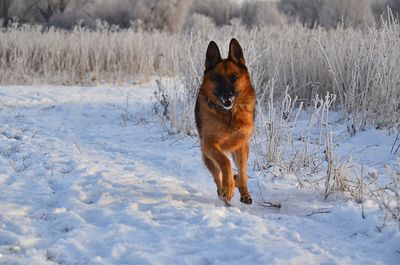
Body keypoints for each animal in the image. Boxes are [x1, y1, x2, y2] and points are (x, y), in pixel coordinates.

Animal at [195, 37, 256, 204]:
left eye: (234, 77)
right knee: (217, 175)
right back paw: (222, 190)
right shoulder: (210, 144)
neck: (229, 114)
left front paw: (239, 185)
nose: (227, 95)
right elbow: (225, 162)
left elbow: (243, 173)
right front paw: (228, 187)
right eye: (217, 79)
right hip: (208, 156)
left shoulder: (242, 146)